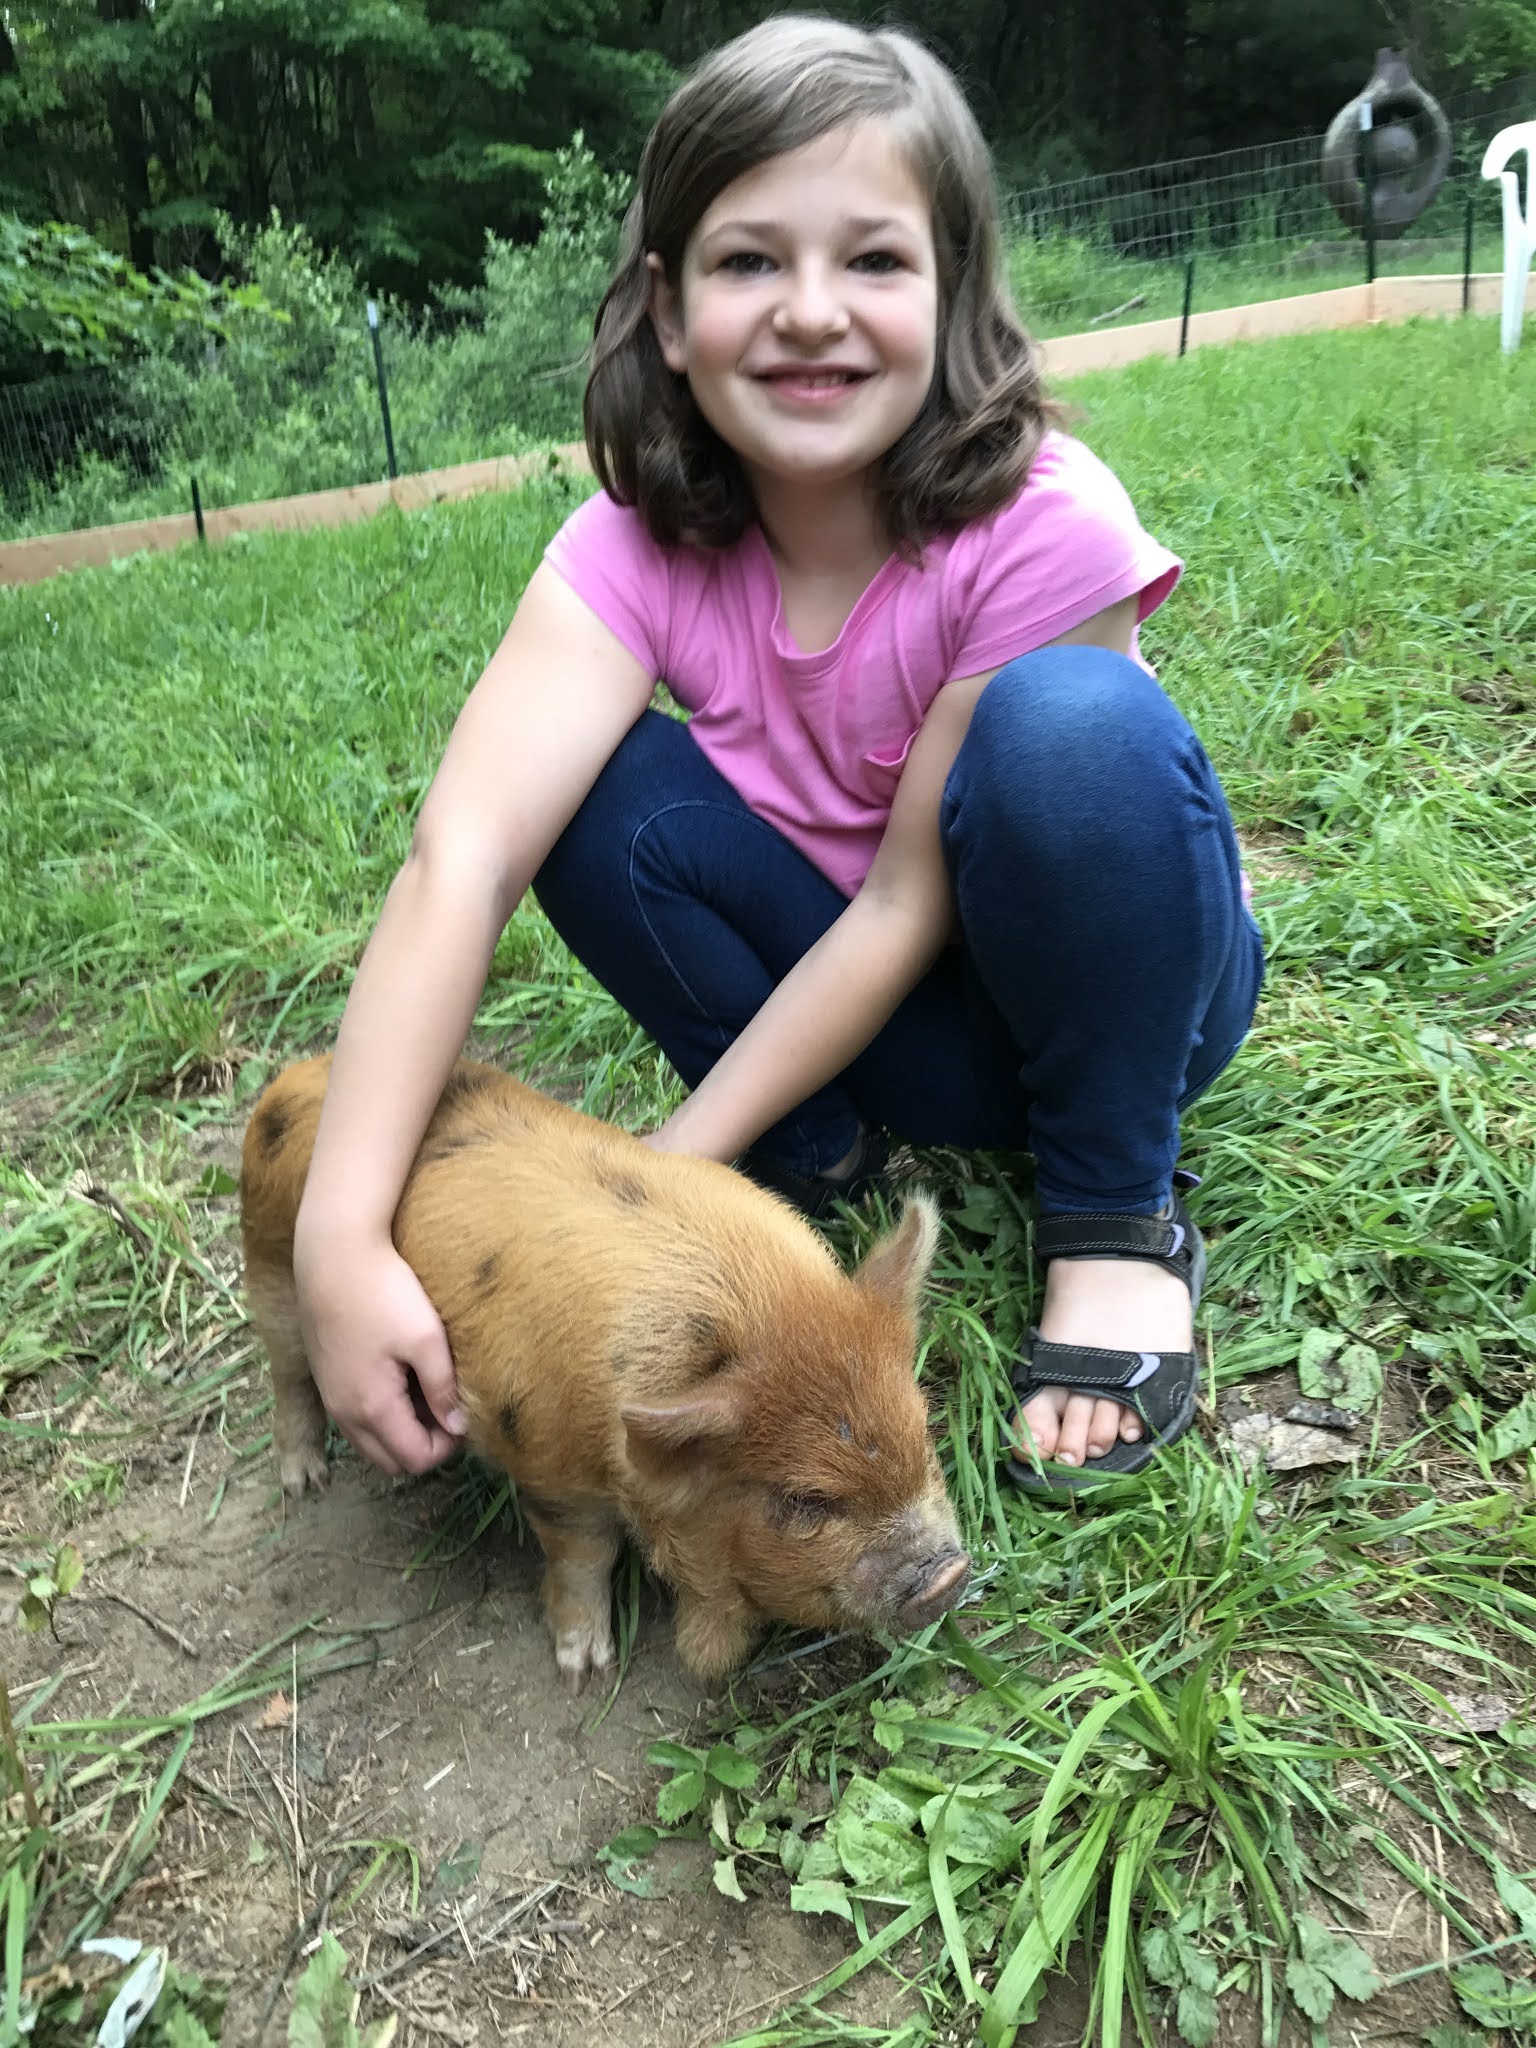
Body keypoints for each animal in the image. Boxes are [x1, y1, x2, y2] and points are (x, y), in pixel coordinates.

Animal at [240, 1057, 971, 1689]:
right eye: (807, 1500)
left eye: (923, 1434)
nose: (949, 1573)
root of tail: (297, 1077)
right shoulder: (548, 1466)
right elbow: (582, 1554)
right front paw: (583, 1669)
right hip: (273, 1271)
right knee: (290, 1376)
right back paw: (304, 1482)